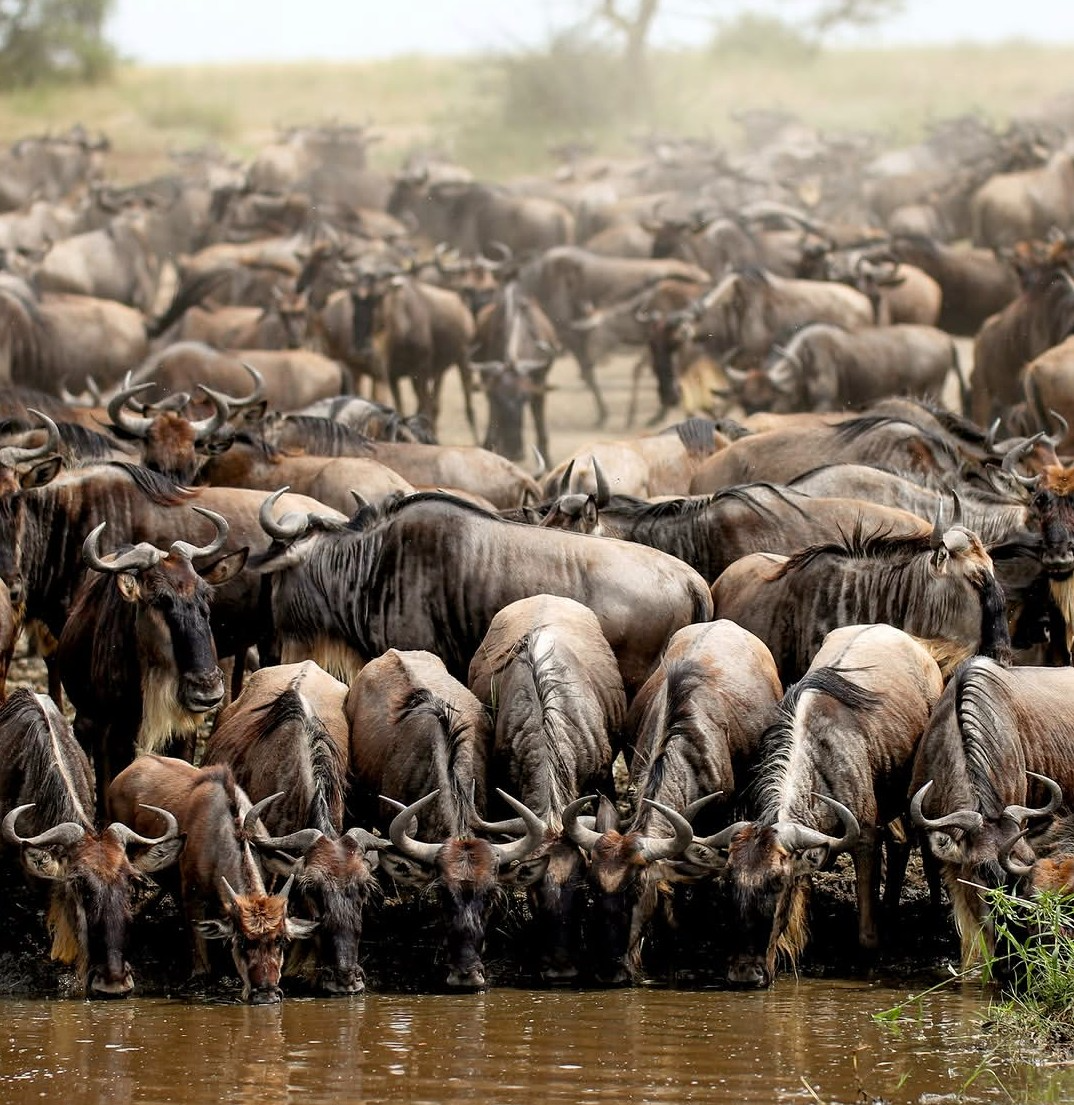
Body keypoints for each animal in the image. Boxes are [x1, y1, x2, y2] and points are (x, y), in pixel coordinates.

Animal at [55, 509, 248, 810]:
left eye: (205, 595)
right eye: (159, 600)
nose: (207, 689)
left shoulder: (182, 732)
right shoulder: (111, 733)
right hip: (87, 717)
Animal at [698, 625, 943, 987]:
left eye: (776, 882)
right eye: (728, 882)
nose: (745, 974)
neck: (819, 755)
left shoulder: (864, 838)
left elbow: (865, 934)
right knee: (899, 842)